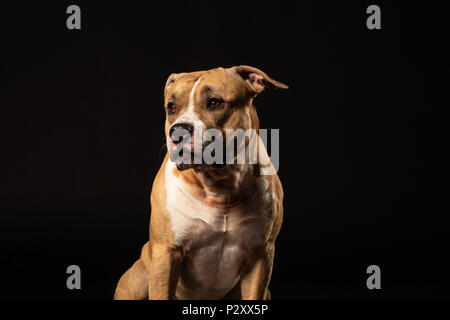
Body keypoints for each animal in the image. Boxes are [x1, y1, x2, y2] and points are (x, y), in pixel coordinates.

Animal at [114, 65, 286, 300]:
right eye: (171, 106)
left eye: (214, 102)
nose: (178, 132)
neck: (219, 186)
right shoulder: (166, 252)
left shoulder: (260, 256)